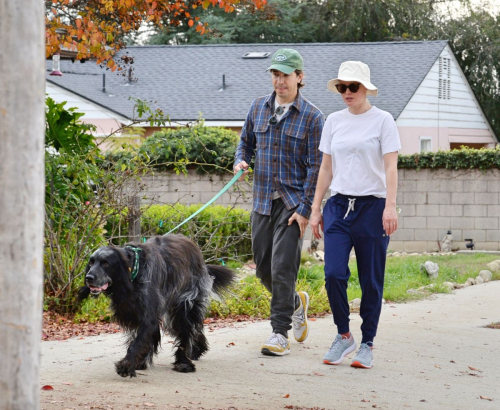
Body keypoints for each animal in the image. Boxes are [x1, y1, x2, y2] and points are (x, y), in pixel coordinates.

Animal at [79, 234, 235, 378]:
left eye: (105, 263)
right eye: (91, 263)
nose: (88, 278)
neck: (134, 273)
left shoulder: (149, 316)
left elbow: (137, 343)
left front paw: (126, 365)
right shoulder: (136, 314)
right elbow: (142, 339)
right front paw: (139, 362)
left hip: (185, 307)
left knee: (186, 333)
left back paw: (184, 362)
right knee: (195, 330)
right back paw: (197, 350)